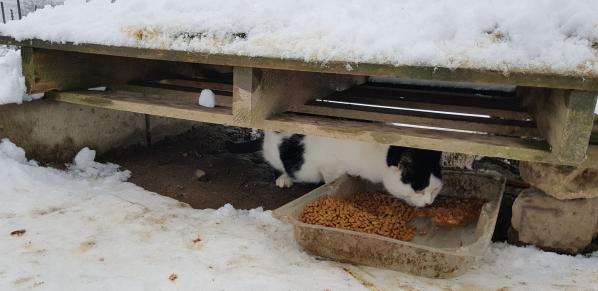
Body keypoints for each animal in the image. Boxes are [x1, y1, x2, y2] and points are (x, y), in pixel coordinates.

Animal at [262, 131, 446, 206]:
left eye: (435, 190)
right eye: (419, 190)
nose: (429, 203)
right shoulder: (328, 164)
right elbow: (331, 181)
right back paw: (284, 178)